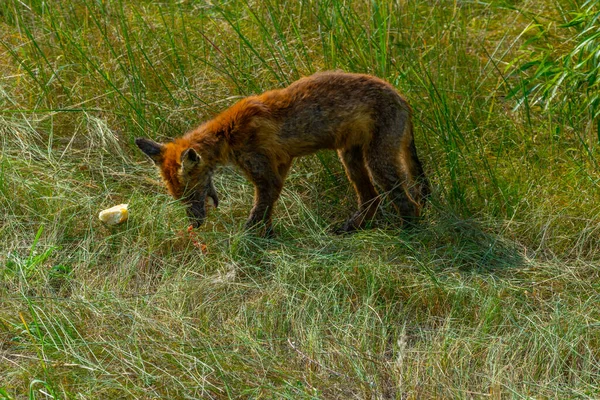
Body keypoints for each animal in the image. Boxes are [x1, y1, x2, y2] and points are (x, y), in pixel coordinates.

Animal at [137, 71, 426, 236]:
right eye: (179, 199)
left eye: (191, 195)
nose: (195, 224)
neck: (228, 134)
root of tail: (402, 97)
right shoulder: (281, 164)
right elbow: (267, 209)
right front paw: (267, 235)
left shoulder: (264, 173)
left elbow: (257, 213)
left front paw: (246, 241)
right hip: (351, 159)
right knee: (371, 200)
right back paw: (351, 228)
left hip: (377, 163)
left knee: (409, 204)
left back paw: (409, 235)